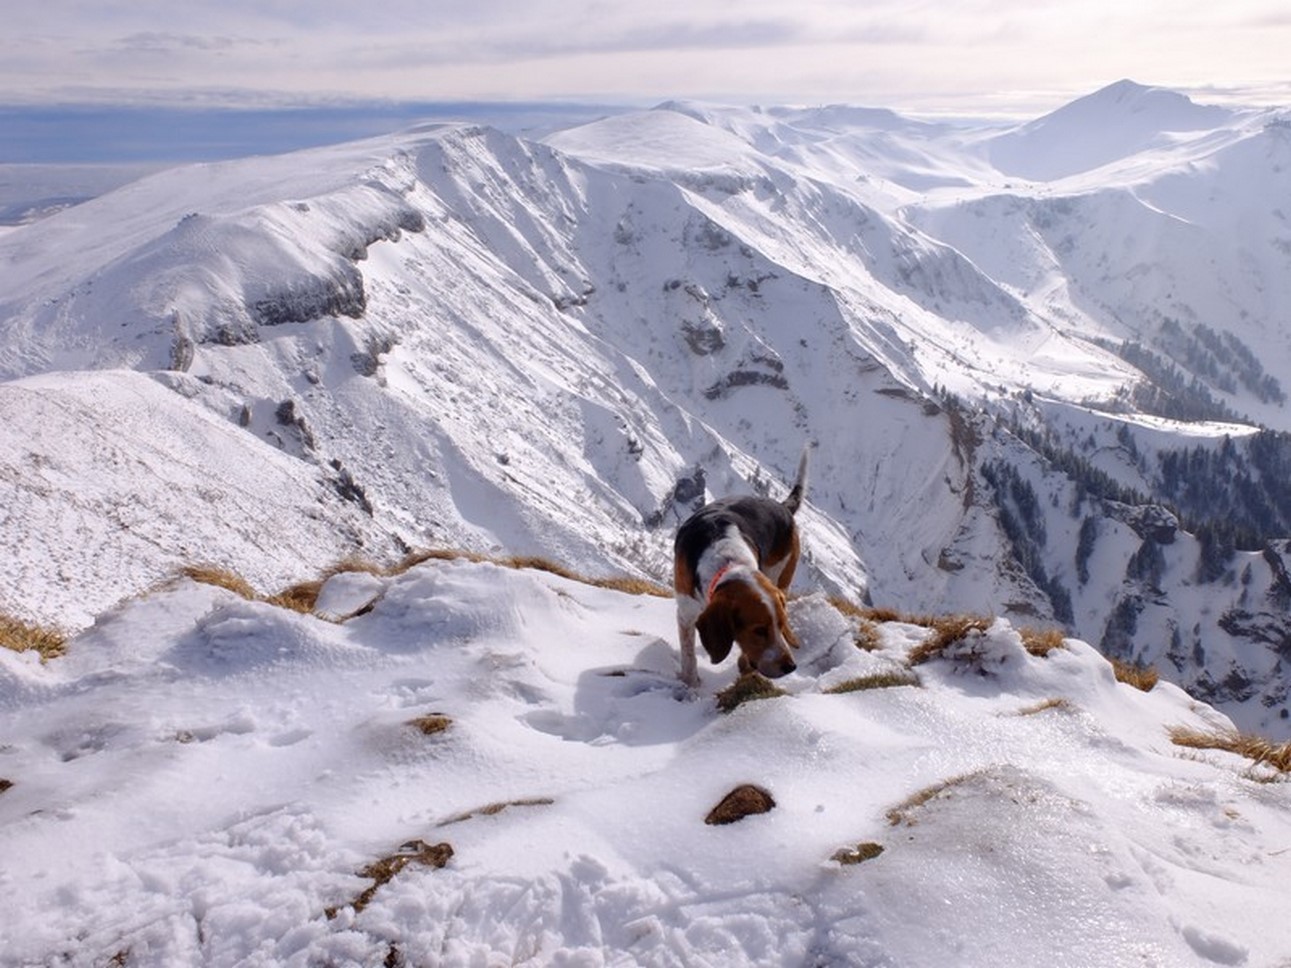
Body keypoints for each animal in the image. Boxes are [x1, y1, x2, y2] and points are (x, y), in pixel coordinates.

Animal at [676, 454, 805, 691]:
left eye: (782, 624)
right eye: (759, 630)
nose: (790, 667)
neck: (729, 562)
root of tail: (782, 506)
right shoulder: (685, 612)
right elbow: (688, 656)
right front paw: (691, 686)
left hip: (782, 577)